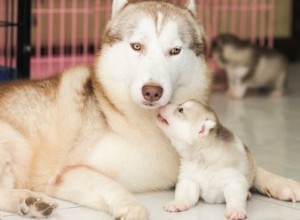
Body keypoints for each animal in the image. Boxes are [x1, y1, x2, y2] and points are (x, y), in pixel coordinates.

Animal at [0, 0, 298, 219]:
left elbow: (251, 165)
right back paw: (27, 199)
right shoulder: (69, 174)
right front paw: (131, 206)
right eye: (136, 46)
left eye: (175, 50)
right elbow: (110, 183)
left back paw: (29, 201)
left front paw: (283, 183)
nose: (152, 91)